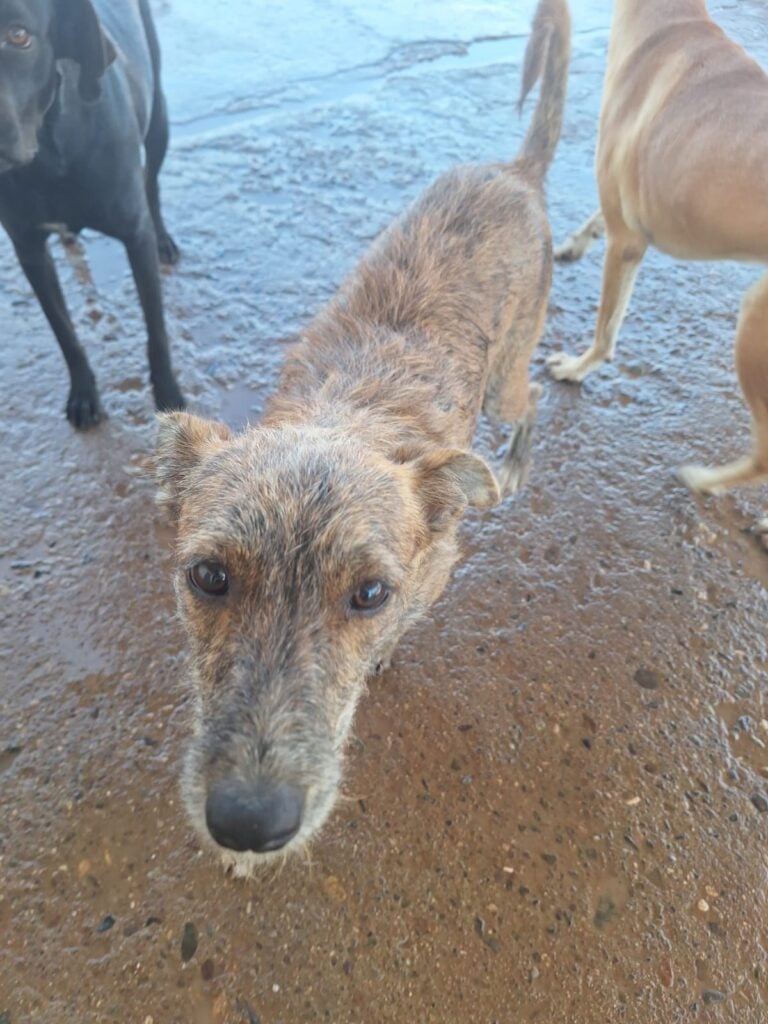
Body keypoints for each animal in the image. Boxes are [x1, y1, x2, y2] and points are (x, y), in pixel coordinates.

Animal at [0, 0, 185, 423]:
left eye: (19, 35)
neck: (48, 159)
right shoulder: (29, 251)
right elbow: (65, 332)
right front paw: (84, 391)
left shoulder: (135, 236)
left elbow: (156, 329)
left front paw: (168, 394)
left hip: (159, 117)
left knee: (152, 181)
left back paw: (164, 238)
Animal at [154, 0, 573, 880]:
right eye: (208, 577)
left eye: (370, 594)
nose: (249, 825)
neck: (344, 415)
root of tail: (515, 171)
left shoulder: (437, 565)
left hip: (509, 371)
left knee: (533, 402)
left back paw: (516, 463)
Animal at [548, 0, 765, 540]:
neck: (670, 18)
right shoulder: (622, 214)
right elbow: (595, 217)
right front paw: (573, 244)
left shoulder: (627, 243)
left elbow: (606, 329)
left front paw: (577, 369)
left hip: (755, 325)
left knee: (764, 455)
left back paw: (705, 481)